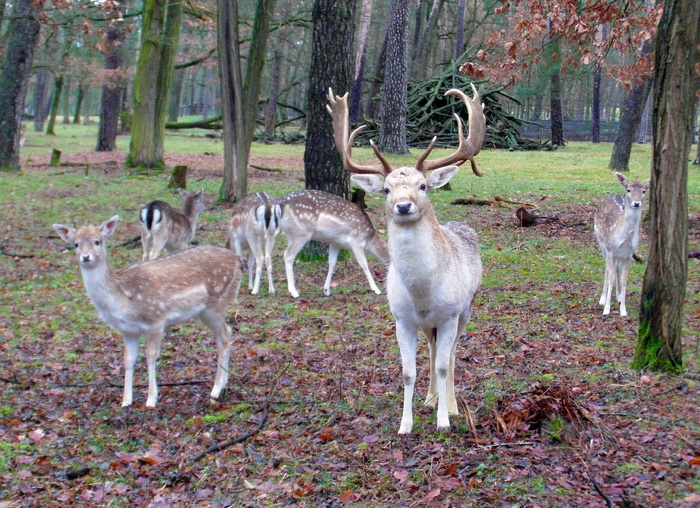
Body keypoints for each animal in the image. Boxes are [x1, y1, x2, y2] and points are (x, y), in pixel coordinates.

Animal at [53, 216, 243, 408]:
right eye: (76, 244)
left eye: (97, 241)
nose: (86, 257)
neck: (124, 300)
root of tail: (238, 261)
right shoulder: (127, 331)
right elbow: (128, 360)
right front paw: (126, 401)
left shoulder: (156, 320)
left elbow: (150, 356)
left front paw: (151, 400)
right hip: (206, 311)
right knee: (226, 333)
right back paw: (224, 382)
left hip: (216, 303)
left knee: (224, 334)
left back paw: (215, 389)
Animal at [327, 84, 485, 434]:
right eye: (386, 190)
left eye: (423, 186)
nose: (403, 206)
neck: (423, 295)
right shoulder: (402, 319)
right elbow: (408, 372)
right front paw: (406, 424)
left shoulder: (449, 314)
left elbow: (444, 365)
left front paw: (444, 421)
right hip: (428, 326)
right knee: (433, 350)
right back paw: (430, 399)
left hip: (466, 310)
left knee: (450, 355)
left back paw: (451, 405)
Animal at [593, 172, 650, 316]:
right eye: (629, 190)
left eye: (644, 191)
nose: (636, 203)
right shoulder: (610, 249)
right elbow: (611, 276)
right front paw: (606, 309)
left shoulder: (629, 254)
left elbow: (625, 280)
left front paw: (623, 310)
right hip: (601, 242)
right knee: (608, 269)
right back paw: (602, 298)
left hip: (618, 254)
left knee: (616, 267)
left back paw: (618, 295)